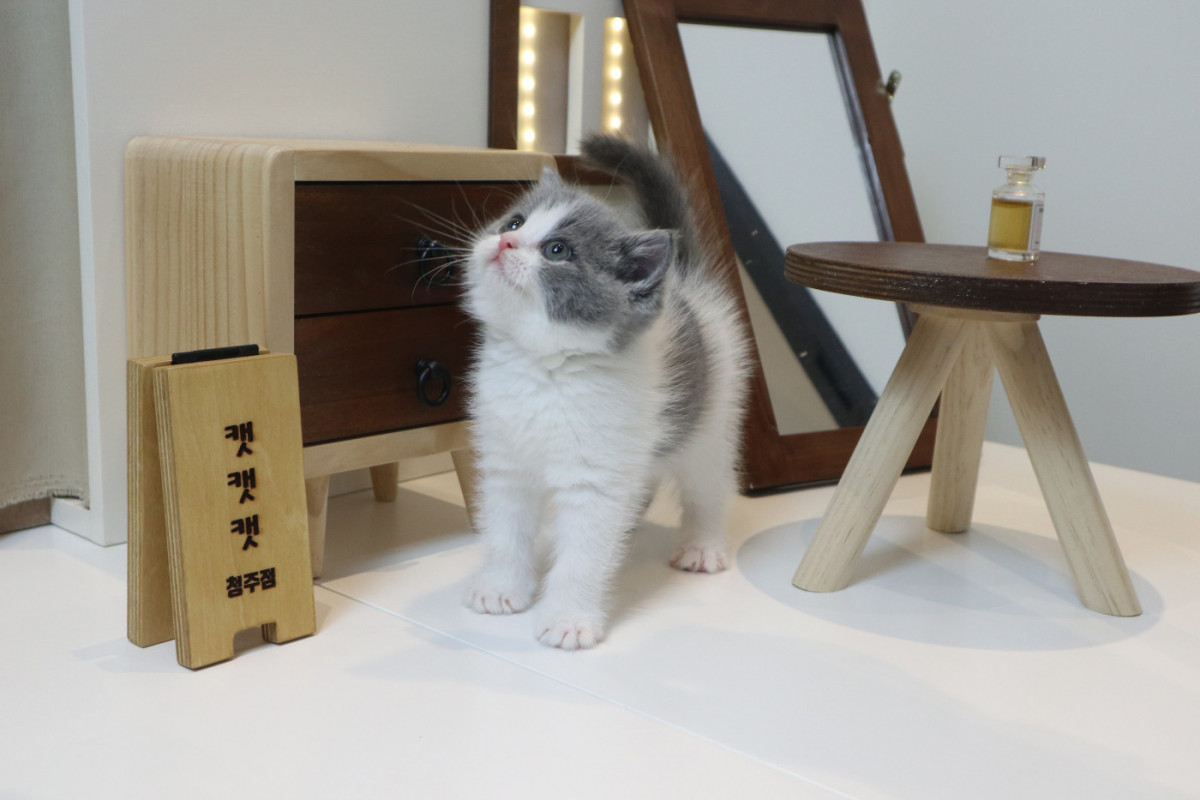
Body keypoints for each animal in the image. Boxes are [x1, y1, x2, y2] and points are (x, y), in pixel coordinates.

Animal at [461, 134, 749, 650]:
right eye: (514, 222)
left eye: (557, 250)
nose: (506, 241)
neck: (543, 369)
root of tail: (684, 284)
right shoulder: (507, 463)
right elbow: (505, 531)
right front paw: (501, 589)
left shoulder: (594, 480)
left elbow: (583, 555)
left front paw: (568, 619)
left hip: (712, 417)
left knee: (710, 486)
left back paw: (701, 546)